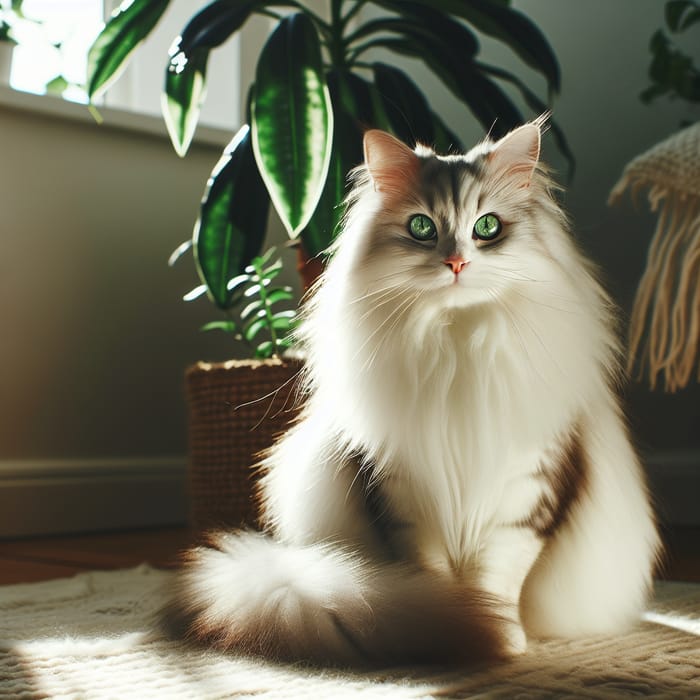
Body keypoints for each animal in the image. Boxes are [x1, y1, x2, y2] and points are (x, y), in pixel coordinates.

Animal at [165, 119, 660, 668]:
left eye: (487, 227)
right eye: (422, 228)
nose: (457, 263)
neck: (457, 347)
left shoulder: (525, 495)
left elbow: (498, 579)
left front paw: (499, 637)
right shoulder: (404, 495)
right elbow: (434, 575)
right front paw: (455, 626)